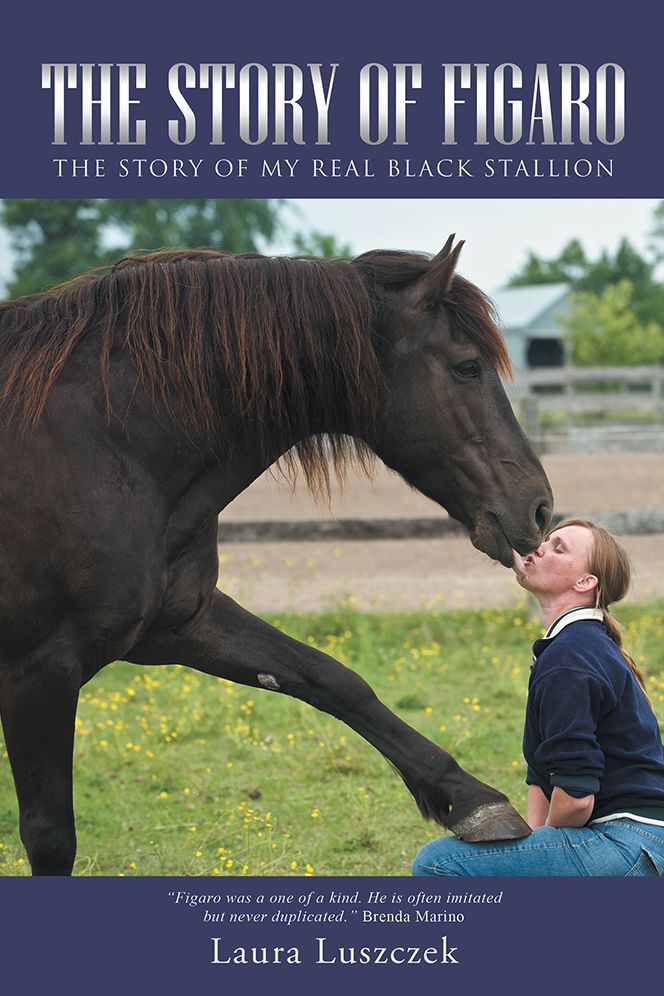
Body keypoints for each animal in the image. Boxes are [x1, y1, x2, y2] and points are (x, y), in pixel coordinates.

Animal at [0, 237, 553, 875]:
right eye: (467, 367)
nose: (540, 509)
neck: (102, 446)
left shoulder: (178, 623)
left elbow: (330, 678)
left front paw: (472, 800)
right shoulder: (38, 670)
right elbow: (51, 836)